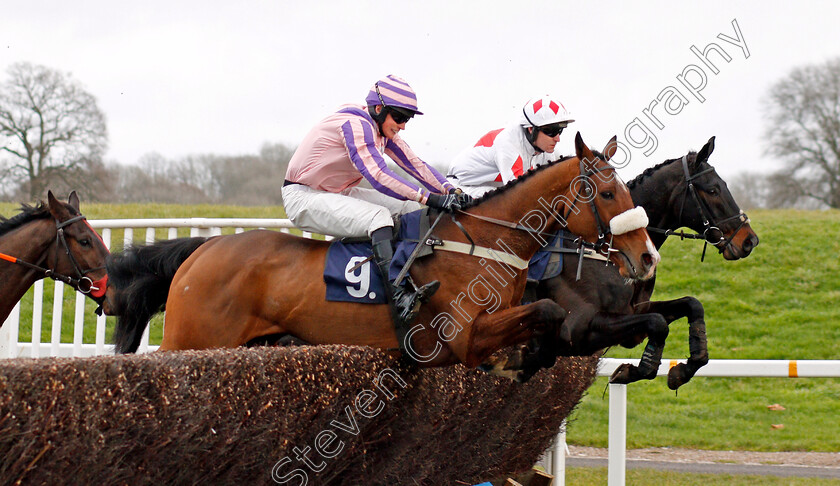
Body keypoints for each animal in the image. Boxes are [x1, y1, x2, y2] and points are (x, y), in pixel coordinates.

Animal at [105, 133, 660, 368]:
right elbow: (547, 309)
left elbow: (548, 314)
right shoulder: (462, 338)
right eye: (606, 193)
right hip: (191, 339)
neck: (484, 244)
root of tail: (205, 250)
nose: (648, 257)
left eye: (624, 187)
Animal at [482, 136, 756, 388]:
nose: (749, 240)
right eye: (712, 190)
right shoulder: (581, 330)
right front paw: (634, 371)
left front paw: (682, 369)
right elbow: (658, 324)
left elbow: (691, 305)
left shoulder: (636, 310)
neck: (607, 256)